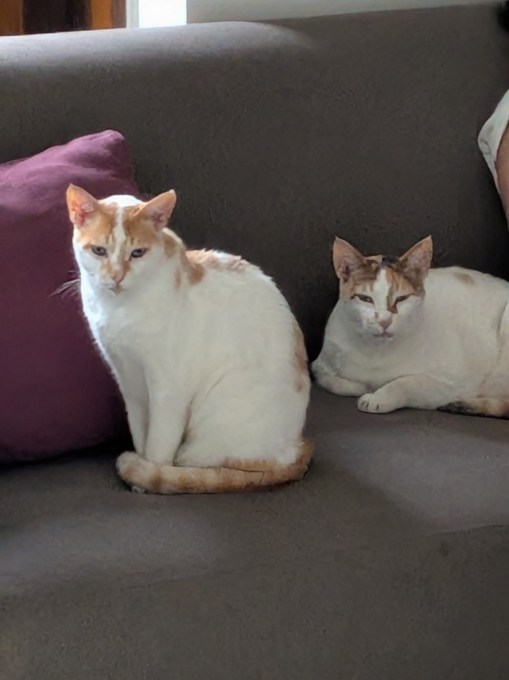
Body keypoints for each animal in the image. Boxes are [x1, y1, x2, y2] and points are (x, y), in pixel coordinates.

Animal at [66, 184, 313, 494]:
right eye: (99, 250)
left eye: (137, 253)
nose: (117, 276)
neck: (119, 310)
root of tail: (298, 448)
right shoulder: (129, 382)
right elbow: (140, 434)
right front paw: (139, 474)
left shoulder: (168, 391)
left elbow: (157, 449)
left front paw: (145, 477)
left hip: (205, 437)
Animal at [312, 235, 509, 417]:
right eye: (365, 298)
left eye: (402, 298)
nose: (384, 321)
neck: (375, 354)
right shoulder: (319, 364)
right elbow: (332, 381)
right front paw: (361, 386)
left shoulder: (453, 382)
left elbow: (407, 383)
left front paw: (378, 397)